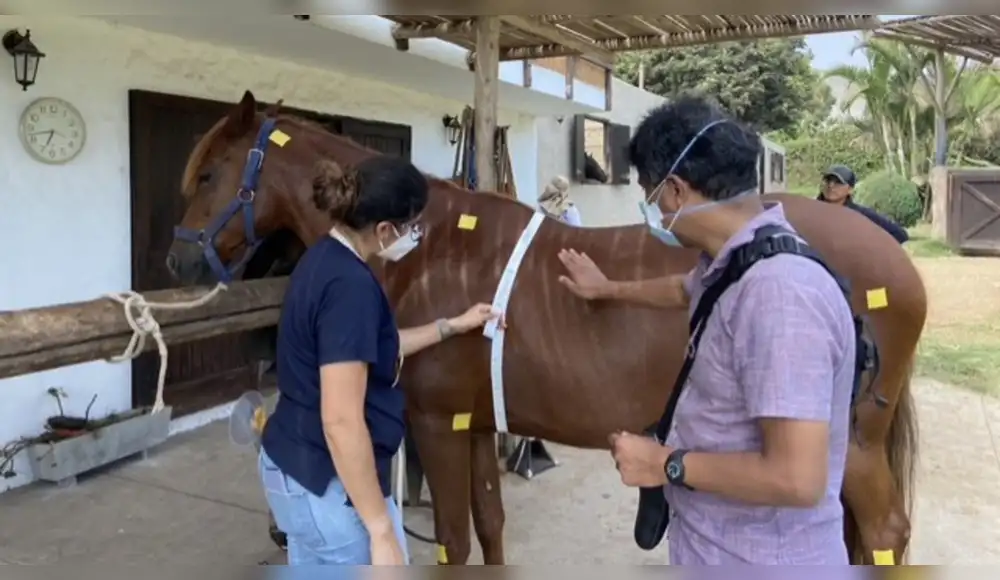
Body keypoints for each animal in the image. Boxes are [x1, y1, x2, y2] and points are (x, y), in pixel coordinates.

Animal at [166, 90, 924, 565]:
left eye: (207, 175)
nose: (176, 259)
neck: (431, 250)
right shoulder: (474, 424)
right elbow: (490, 528)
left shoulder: (437, 425)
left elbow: (455, 539)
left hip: (852, 447)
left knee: (887, 530)